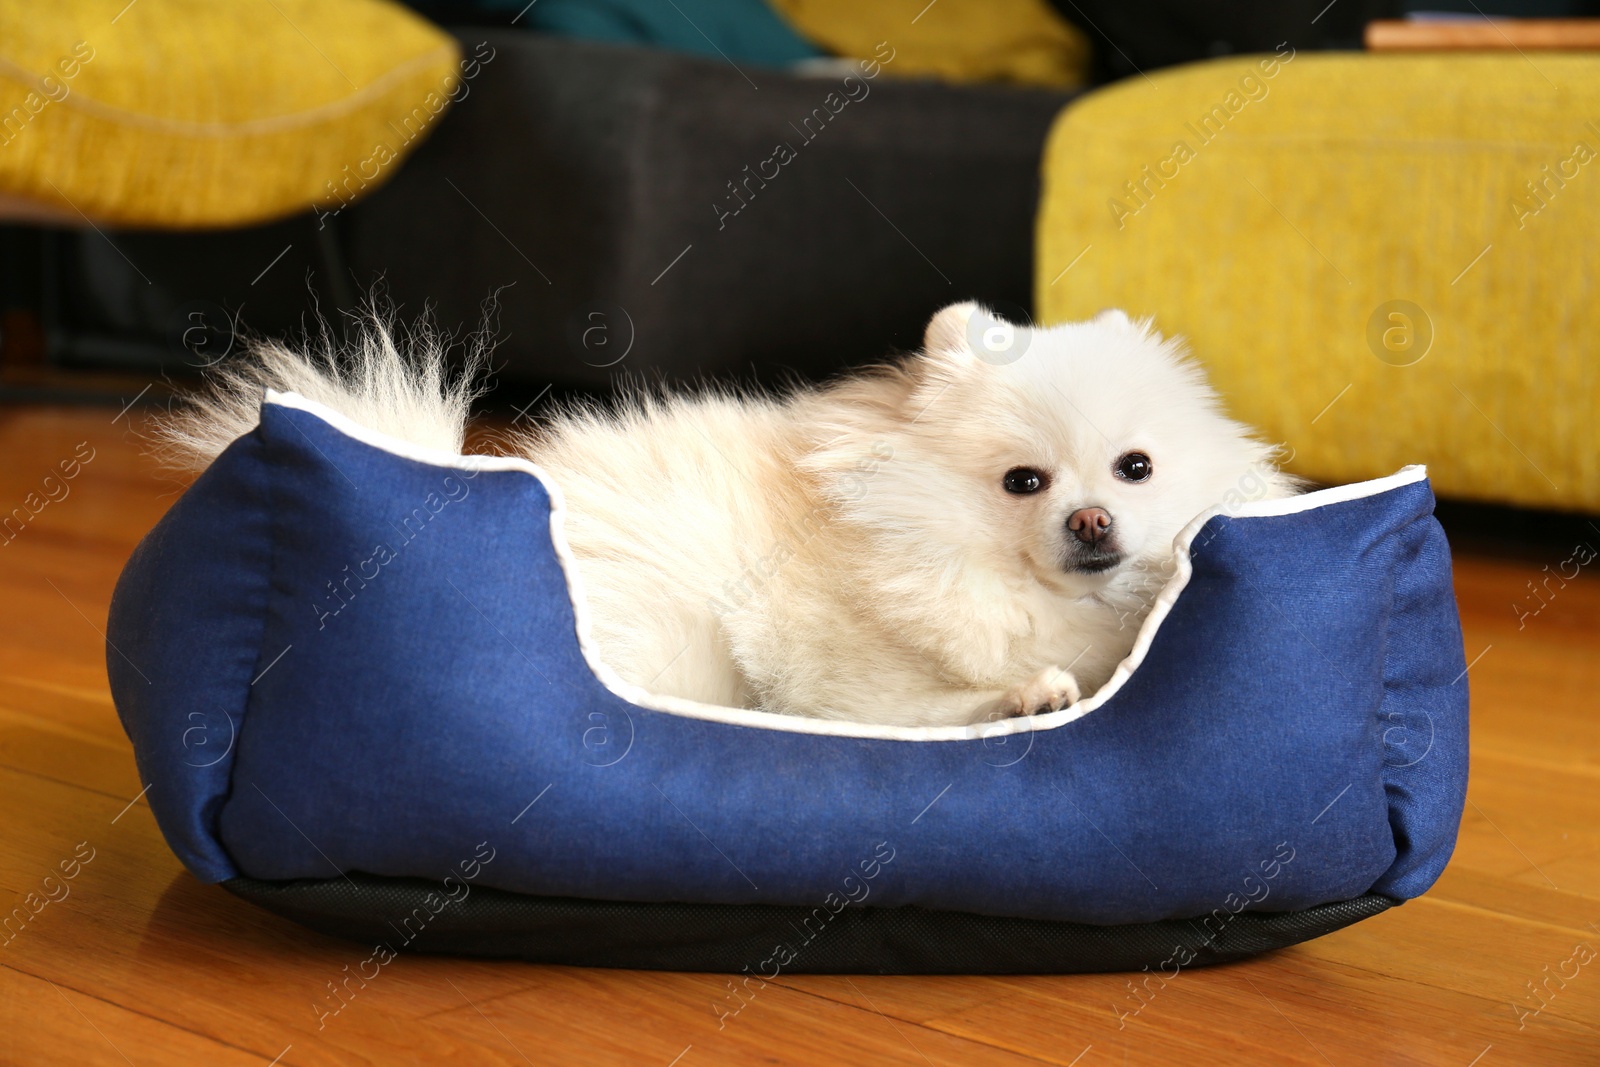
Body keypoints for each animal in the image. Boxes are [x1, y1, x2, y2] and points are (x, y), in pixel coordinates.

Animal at [156, 303, 1292, 729]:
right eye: (1024, 481)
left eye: (1134, 468)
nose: (1094, 521)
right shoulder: (844, 673)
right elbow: (922, 705)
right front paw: (1026, 694)